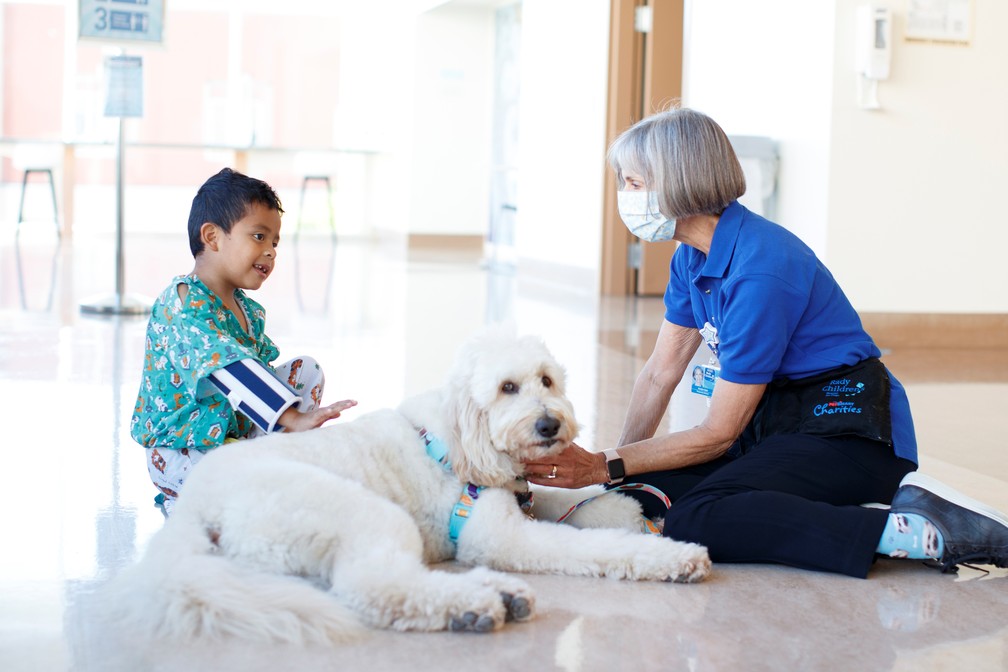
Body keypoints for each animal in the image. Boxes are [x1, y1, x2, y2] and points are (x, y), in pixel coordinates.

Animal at [104, 328, 709, 644]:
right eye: (507, 388)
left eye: (546, 380)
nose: (548, 425)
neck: (463, 437)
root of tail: (192, 509)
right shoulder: (499, 535)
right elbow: (589, 545)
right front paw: (671, 554)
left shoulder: (521, 491)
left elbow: (568, 499)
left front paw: (623, 507)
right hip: (358, 513)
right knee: (376, 586)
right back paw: (475, 603)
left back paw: (499, 595)